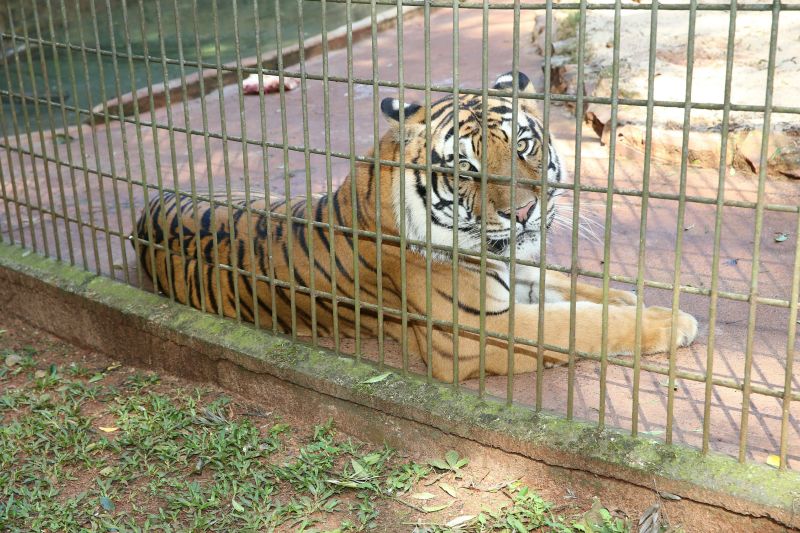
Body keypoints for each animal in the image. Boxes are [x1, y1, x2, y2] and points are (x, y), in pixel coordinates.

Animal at [133, 71, 698, 383]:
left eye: (523, 145)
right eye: (466, 169)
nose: (522, 213)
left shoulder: (519, 274)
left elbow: (571, 287)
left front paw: (630, 297)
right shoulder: (474, 333)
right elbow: (581, 325)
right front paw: (671, 321)